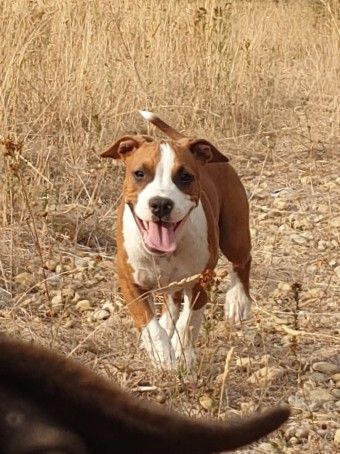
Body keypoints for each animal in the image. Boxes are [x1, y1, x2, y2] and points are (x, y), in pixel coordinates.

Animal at [102, 111, 251, 368]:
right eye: (139, 173)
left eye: (185, 177)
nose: (161, 203)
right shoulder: (128, 279)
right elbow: (149, 323)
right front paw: (162, 353)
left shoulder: (202, 278)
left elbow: (189, 321)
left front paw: (182, 352)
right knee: (171, 302)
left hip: (235, 234)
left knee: (242, 261)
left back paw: (238, 300)